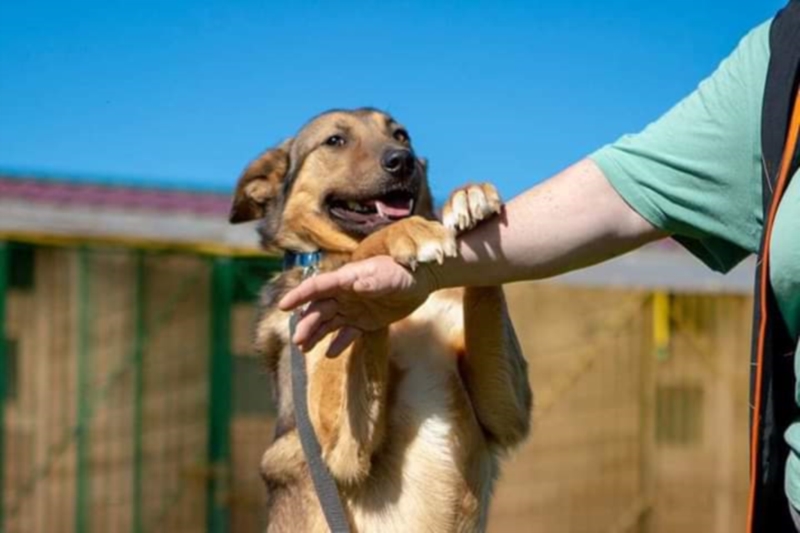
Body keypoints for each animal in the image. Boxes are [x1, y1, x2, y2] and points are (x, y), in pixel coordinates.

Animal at [229, 108, 532, 532]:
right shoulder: (334, 444)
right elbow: (368, 249)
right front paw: (406, 233)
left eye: (402, 135)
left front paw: (467, 197)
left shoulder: (506, 413)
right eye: (335, 140)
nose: (402, 161)